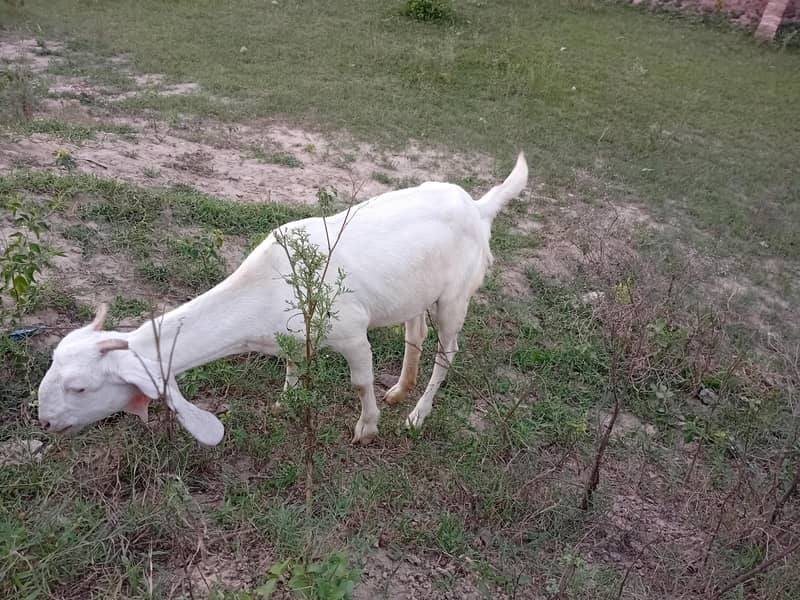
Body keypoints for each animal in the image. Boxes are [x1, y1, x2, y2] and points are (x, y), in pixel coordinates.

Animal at [37, 153, 529, 445]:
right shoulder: (291, 333)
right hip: (418, 291)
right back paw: (399, 391)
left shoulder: (352, 334)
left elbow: (359, 381)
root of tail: (479, 208)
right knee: (415, 331)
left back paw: (417, 415)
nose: (44, 421)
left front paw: (366, 429)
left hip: (456, 296)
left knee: (448, 352)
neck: (268, 286)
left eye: (80, 387)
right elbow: (292, 364)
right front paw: (285, 402)